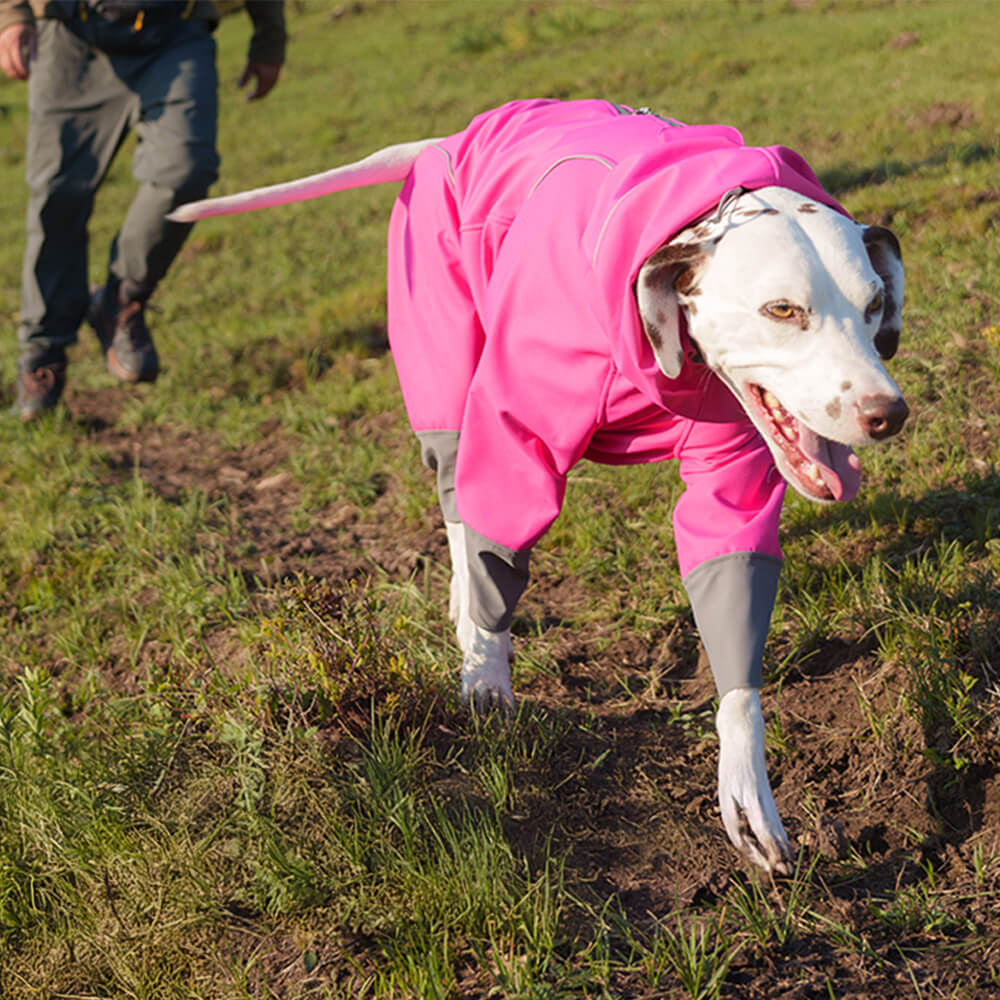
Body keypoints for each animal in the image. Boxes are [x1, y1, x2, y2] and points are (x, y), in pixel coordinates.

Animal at [170, 97, 908, 872]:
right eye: (782, 310)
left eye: (874, 304)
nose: (888, 413)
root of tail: (445, 141)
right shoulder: (512, 427)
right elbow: (495, 540)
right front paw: (485, 677)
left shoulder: (731, 478)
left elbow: (731, 603)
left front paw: (745, 778)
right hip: (443, 375)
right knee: (457, 498)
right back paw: (466, 606)